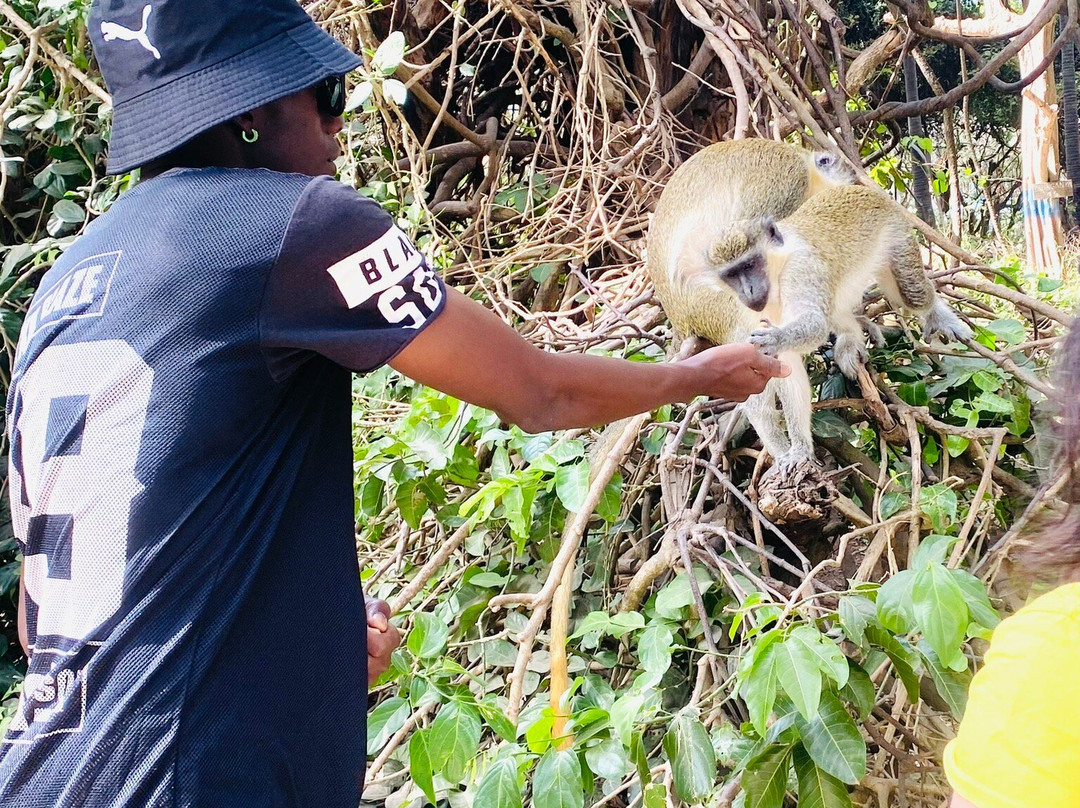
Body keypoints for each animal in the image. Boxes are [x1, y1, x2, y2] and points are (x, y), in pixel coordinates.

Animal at [709, 184, 972, 473]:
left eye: (749, 265)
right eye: (732, 275)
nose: (747, 290)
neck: (777, 270)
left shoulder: (801, 269)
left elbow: (813, 324)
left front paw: (775, 338)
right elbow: (787, 365)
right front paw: (797, 450)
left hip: (896, 233)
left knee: (911, 294)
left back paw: (938, 314)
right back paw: (850, 337)